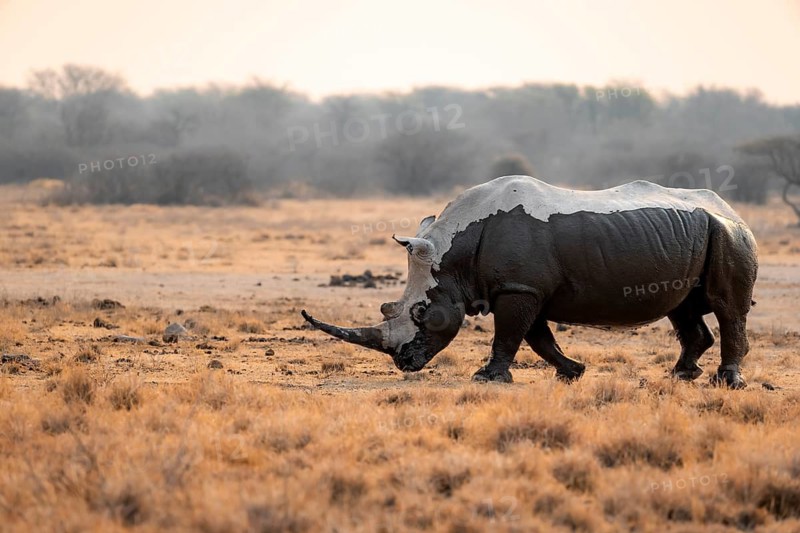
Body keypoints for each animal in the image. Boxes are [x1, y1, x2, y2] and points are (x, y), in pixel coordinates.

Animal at [302, 175, 758, 388]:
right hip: (695, 234)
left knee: (727, 307)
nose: (403, 363)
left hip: (729, 234)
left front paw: (486, 379)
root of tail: (731, 208)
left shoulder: (519, 288)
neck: (453, 256)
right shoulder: (525, 287)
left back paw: (726, 383)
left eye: (420, 311)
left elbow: (509, 334)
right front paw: (572, 373)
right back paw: (681, 376)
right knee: (682, 309)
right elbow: (537, 337)